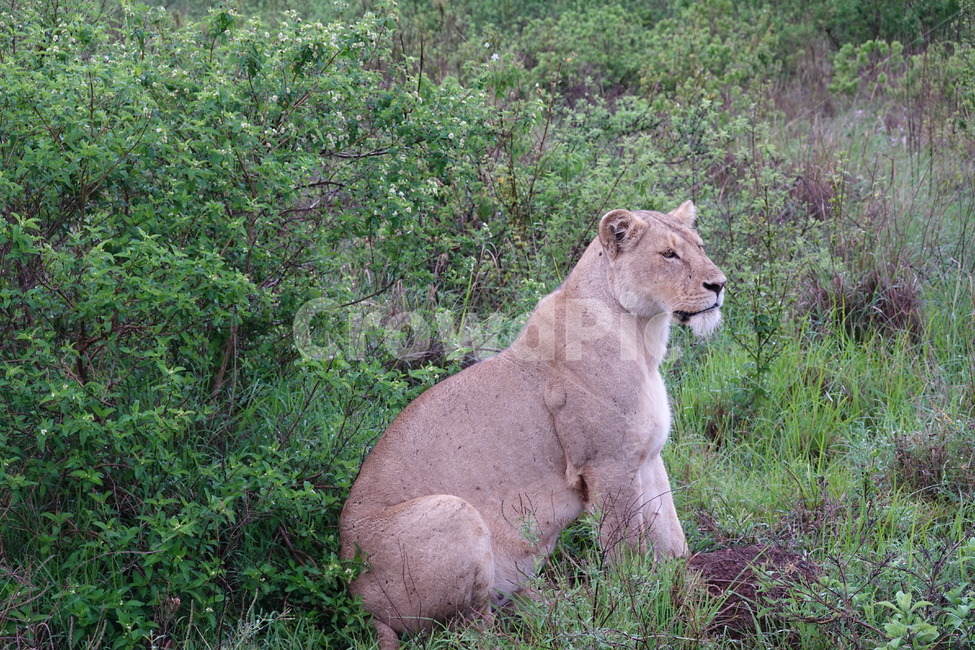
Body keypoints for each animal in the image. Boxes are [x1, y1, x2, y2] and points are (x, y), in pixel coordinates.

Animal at [339, 202, 726, 649]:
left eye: (700, 246)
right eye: (668, 255)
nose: (719, 285)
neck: (643, 335)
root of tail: (353, 593)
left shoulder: (647, 458)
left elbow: (674, 539)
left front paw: (692, 598)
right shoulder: (607, 464)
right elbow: (628, 551)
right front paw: (637, 610)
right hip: (454, 513)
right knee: (469, 629)